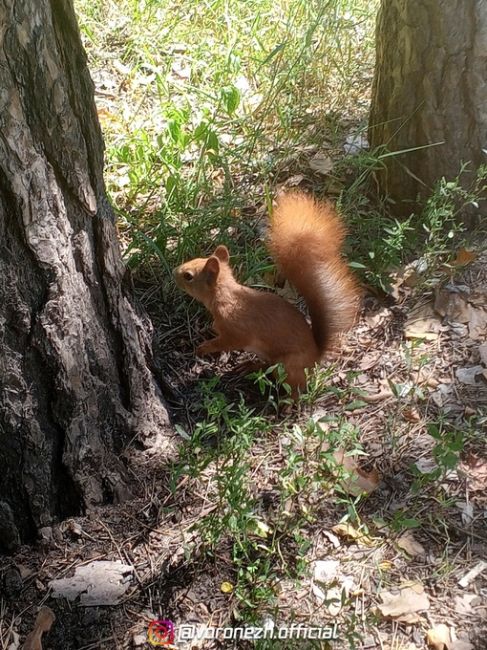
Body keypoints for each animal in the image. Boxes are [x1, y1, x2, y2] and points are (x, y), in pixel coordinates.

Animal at [173, 190, 360, 398]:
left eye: (188, 276)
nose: (174, 272)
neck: (224, 296)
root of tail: (314, 357)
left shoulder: (236, 329)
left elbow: (228, 342)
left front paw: (204, 348)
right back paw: (250, 366)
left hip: (287, 366)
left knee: (296, 388)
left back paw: (287, 402)